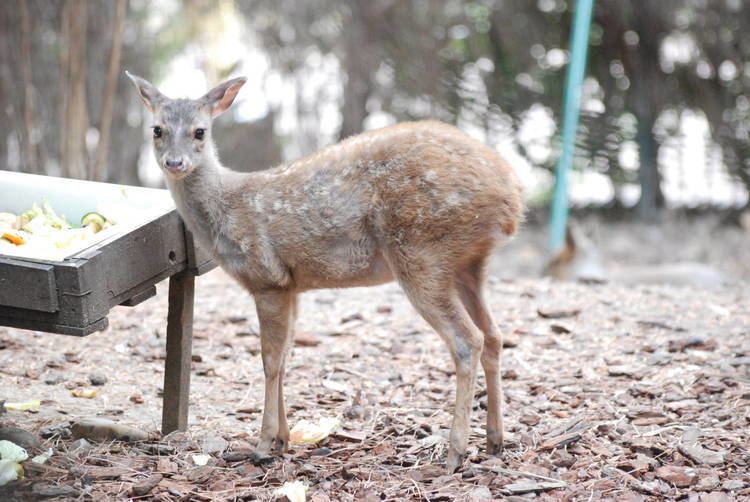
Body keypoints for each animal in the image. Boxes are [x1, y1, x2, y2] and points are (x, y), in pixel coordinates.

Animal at [126, 71, 524, 470]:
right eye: (157, 129)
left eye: (200, 132)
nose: (174, 162)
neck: (228, 208)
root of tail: (511, 194)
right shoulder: (291, 285)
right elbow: (286, 357)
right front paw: (284, 440)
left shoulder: (267, 278)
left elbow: (270, 361)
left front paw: (263, 444)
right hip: (468, 264)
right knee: (494, 335)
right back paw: (495, 441)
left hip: (422, 250)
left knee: (468, 340)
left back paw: (455, 452)